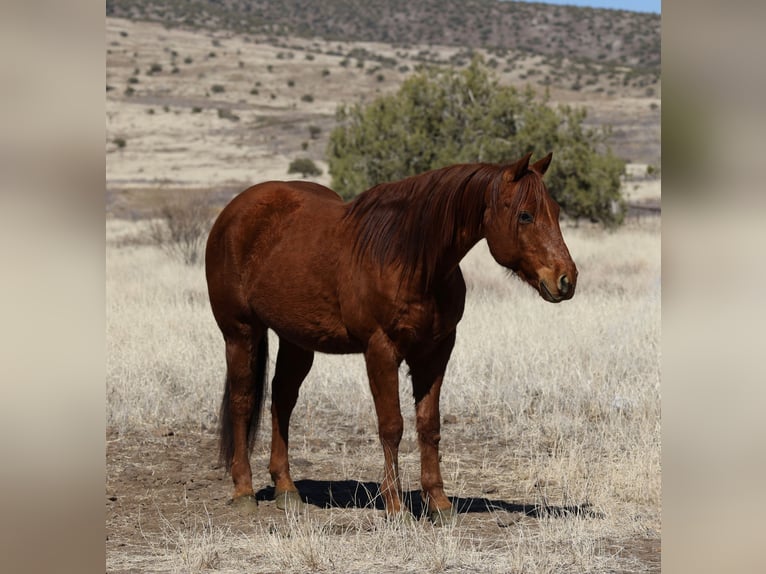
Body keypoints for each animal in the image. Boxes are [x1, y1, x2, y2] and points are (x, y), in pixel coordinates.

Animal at [207, 152, 580, 528]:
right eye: (525, 215)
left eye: (556, 210)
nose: (566, 279)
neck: (410, 260)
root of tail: (233, 212)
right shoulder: (381, 351)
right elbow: (392, 427)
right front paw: (396, 507)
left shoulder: (435, 353)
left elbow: (429, 425)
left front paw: (439, 503)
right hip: (240, 333)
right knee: (242, 401)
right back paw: (244, 491)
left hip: (297, 341)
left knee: (282, 401)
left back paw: (286, 489)